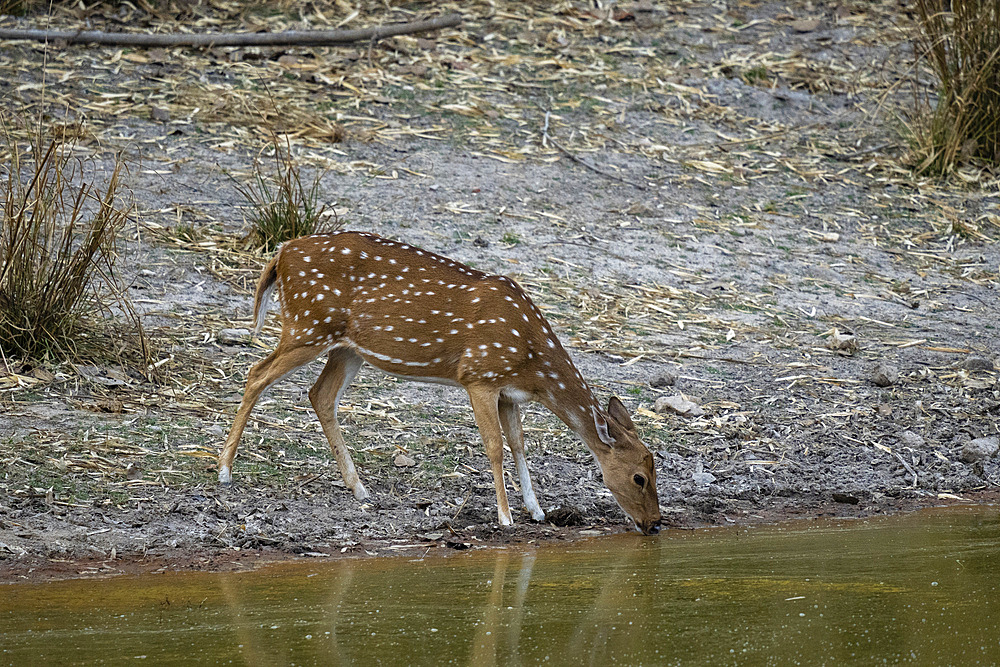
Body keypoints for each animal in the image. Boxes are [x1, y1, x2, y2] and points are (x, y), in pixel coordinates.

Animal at [223, 232, 668, 536]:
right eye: (639, 477)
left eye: (654, 468)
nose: (655, 524)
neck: (532, 360)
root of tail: (281, 254)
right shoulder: (479, 375)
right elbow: (495, 447)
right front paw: (506, 517)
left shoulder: (510, 393)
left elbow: (519, 444)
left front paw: (537, 510)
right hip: (309, 325)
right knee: (257, 373)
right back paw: (225, 471)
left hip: (346, 347)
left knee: (320, 394)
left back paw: (360, 489)